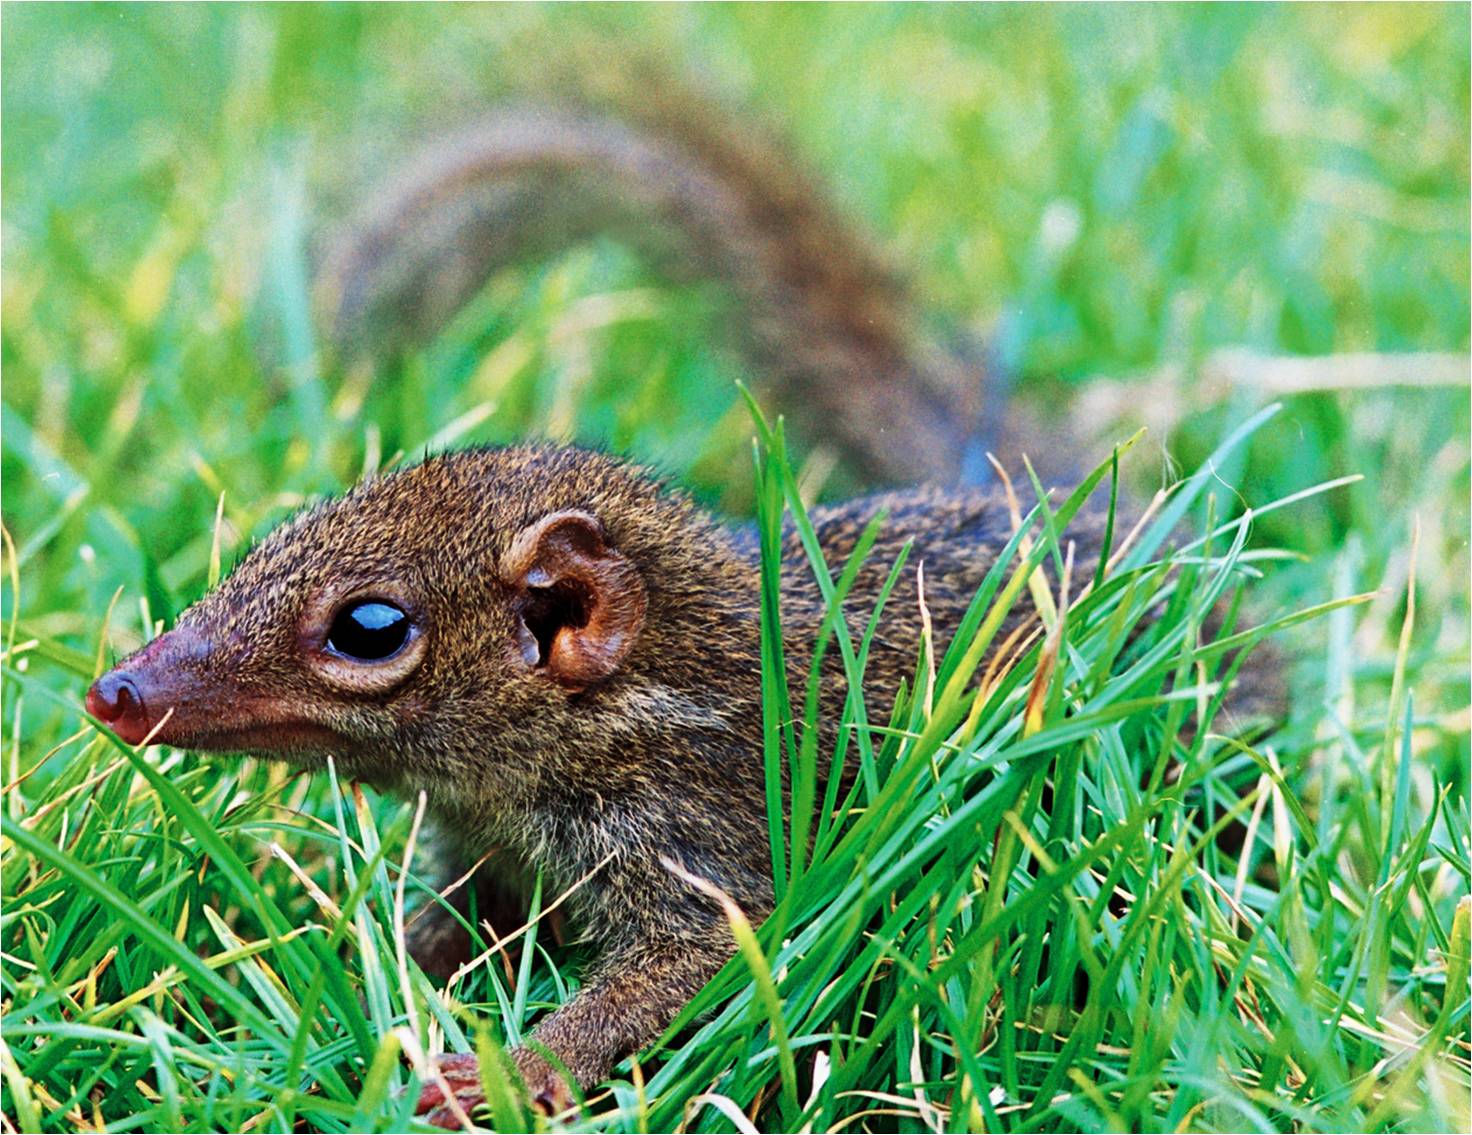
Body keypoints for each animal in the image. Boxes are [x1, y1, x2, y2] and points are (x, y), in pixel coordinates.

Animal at [85, 74, 1268, 1127]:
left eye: (369, 628)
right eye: (265, 543)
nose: (118, 693)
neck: (655, 685)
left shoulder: (703, 831)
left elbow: (697, 963)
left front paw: (502, 1076)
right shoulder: (490, 856)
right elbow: (449, 935)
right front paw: (312, 967)